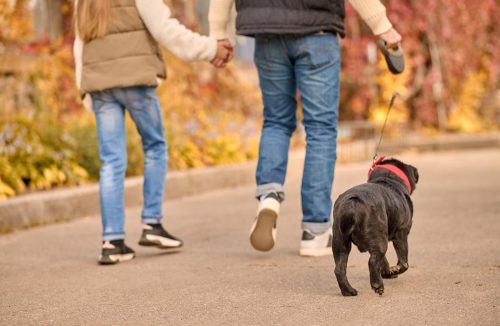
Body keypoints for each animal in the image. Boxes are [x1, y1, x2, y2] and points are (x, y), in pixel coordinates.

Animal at [332, 157, 418, 296]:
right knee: (372, 262)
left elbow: (384, 261)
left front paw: (388, 272)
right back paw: (377, 285)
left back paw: (348, 291)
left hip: (340, 243)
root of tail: (352, 204)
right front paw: (395, 269)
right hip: (380, 241)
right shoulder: (402, 233)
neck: (388, 179)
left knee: (340, 269)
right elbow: (404, 262)